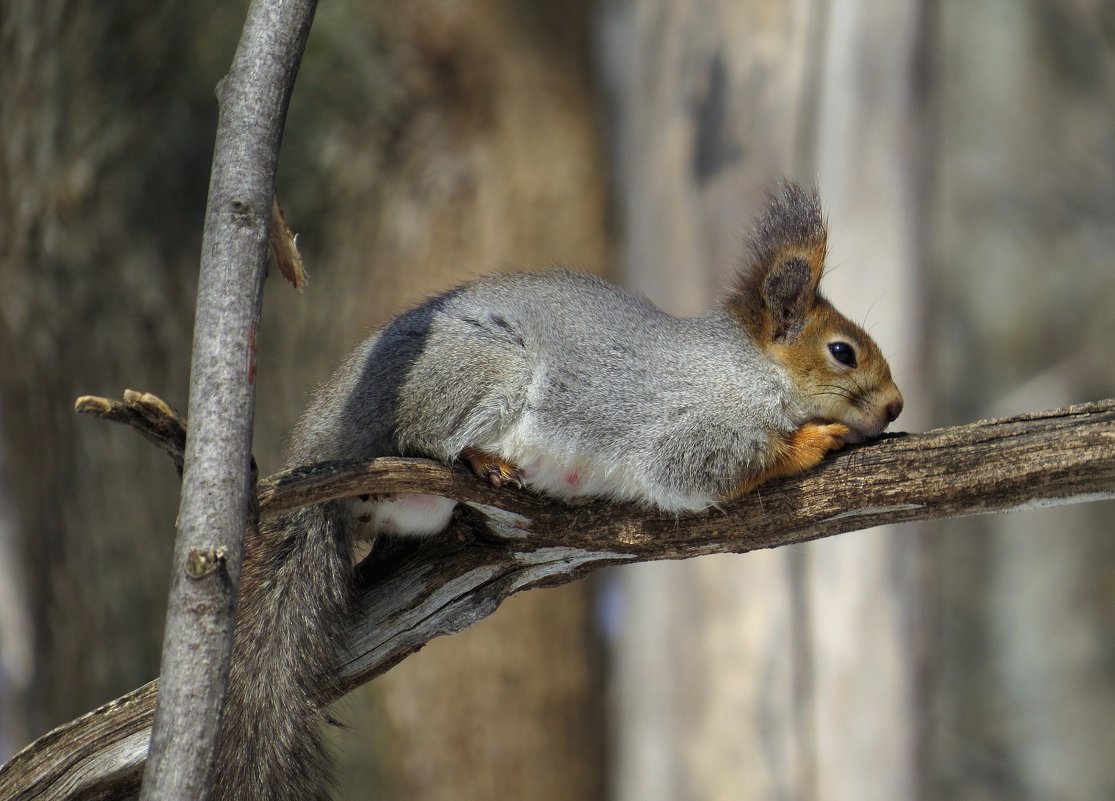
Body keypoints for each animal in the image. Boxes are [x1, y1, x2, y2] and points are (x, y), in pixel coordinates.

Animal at [209, 184, 905, 801]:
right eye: (842, 352)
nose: (897, 406)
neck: (747, 370)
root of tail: (323, 436)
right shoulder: (690, 429)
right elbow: (707, 471)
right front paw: (813, 440)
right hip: (481, 371)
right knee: (427, 439)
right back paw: (481, 460)